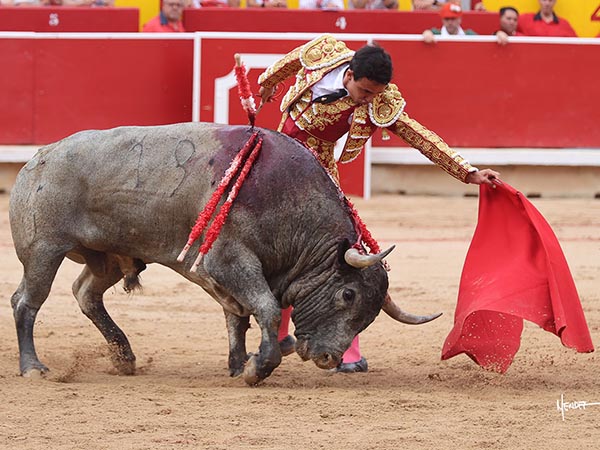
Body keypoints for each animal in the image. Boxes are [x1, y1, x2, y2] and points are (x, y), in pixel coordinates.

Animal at [9, 122, 439, 385]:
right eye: (347, 294)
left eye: (368, 315)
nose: (330, 358)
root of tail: (37, 159)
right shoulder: (230, 261)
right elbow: (266, 308)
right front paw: (257, 368)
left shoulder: (224, 275)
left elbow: (238, 317)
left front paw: (238, 364)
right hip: (44, 250)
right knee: (27, 302)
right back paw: (33, 368)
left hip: (108, 257)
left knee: (85, 293)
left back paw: (124, 357)